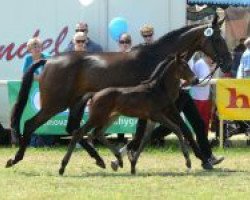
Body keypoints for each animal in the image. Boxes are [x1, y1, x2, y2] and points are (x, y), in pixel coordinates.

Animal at [59, 55, 199, 174]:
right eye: (184, 66)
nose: (196, 79)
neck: (158, 90)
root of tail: (95, 94)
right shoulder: (157, 115)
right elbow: (177, 129)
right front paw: (188, 161)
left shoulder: (151, 119)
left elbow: (145, 139)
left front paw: (133, 165)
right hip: (98, 117)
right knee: (79, 133)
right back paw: (62, 167)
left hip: (111, 116)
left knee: (97, 133)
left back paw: (118, 159)